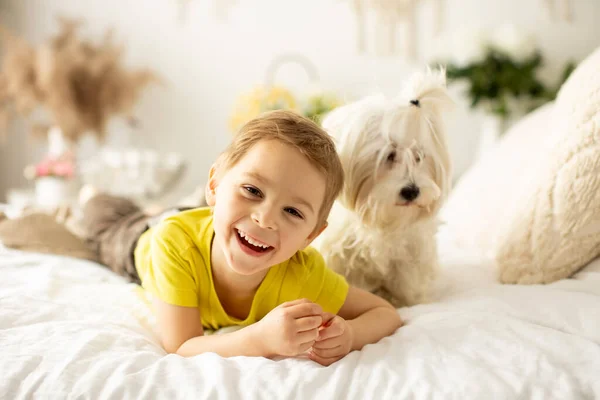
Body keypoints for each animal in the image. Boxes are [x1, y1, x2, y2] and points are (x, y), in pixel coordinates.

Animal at [316, 69, 452, 306]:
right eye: (389, 155)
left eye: (419, 156)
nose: (412, 191)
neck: (383, 220)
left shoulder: (413, 252)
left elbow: (407, 282)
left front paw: (398, 299)